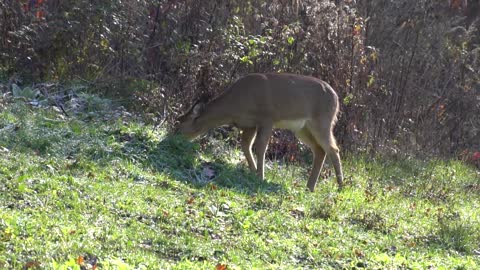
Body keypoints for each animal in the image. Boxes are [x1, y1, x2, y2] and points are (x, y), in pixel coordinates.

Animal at [176, 73, 344, 192]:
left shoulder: (267, 118)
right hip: (302, 128)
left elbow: (261, 147)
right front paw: (253, 172)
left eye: (180, 125)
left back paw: (340, 186)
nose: (173, 138)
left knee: (333, 149)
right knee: (320, 150)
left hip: (322, 121)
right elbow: (246, 145)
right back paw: (310, 187)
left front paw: (260, 176)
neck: (234, 105)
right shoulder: (248, 124)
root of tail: (337, 98)